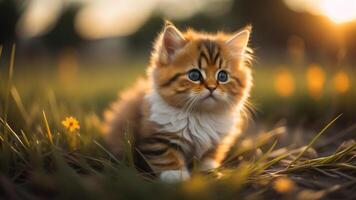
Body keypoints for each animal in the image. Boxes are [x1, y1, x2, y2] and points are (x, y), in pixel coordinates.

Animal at [103, 21, 253, 183]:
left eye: (223, 76)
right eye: (194, 75)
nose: (212, 87)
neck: (200, 115)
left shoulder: (217, 142)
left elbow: (209, 157)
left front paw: (209, 172)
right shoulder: (156, 137)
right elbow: (166, 155)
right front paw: (175, 175)